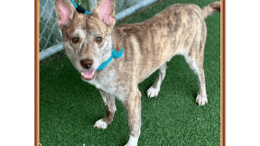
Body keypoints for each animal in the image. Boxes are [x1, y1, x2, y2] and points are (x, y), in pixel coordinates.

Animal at [54, 0, 219, 145]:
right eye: (75, 39)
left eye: (99, 39)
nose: (86, 63)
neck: (108, 61)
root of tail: (195, 8)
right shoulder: (103, 90)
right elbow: (110, 108)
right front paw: (106, 121)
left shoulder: (132, 98)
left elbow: (133, 126)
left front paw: (131, 143)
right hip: (160, 55)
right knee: (163, 70)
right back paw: (155, 89)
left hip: (193, 58)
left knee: (202, 74)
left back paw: (202, 95)